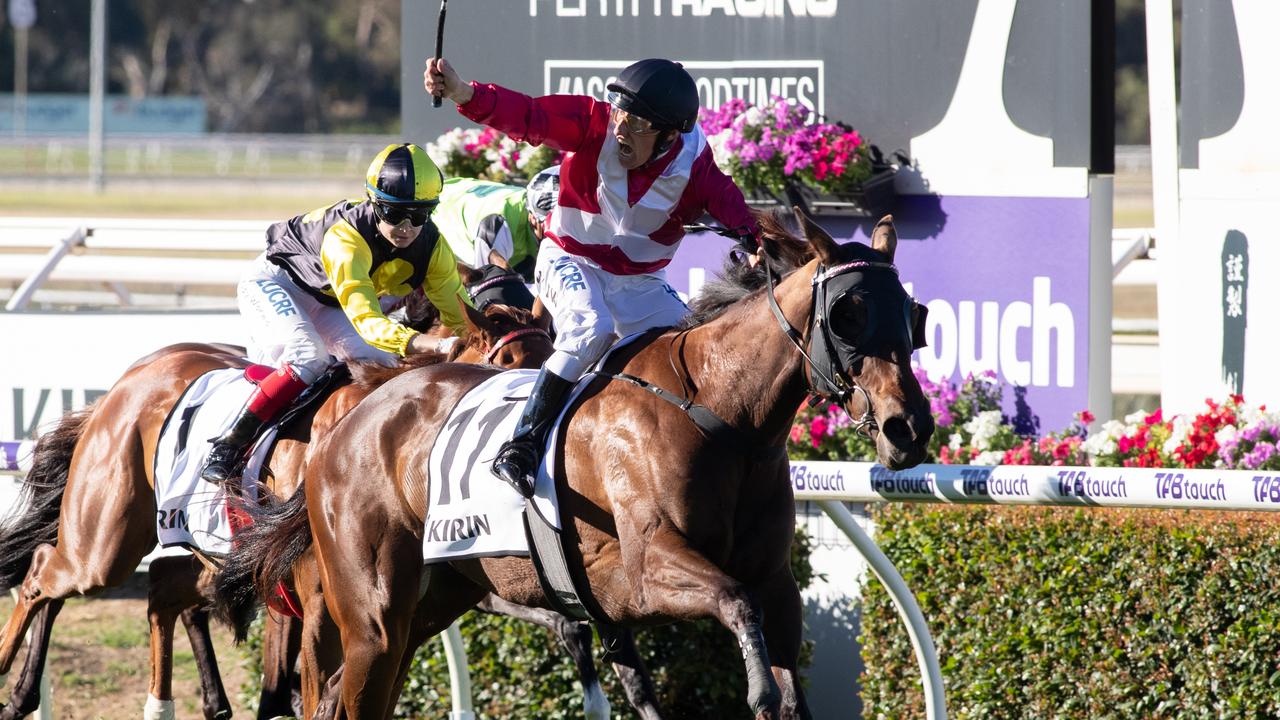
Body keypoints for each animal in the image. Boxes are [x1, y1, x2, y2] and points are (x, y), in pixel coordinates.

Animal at [0, 299, 550, 712]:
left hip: (217, 553)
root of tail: (128, 380)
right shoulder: (322, 610)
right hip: (104, 540)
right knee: (43, 570)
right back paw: (12, 680)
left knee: (160, 587)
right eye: (505, 366)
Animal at [225, 208, 936, 717]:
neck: (720, 413)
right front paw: (756, 689)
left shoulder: (778, 583)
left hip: (433, 600)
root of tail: (347, 421)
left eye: (912, 312)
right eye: (848, 313)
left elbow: (779, 664)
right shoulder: (647, 568)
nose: (908, 428)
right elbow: (735, 607)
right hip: (371, 611)